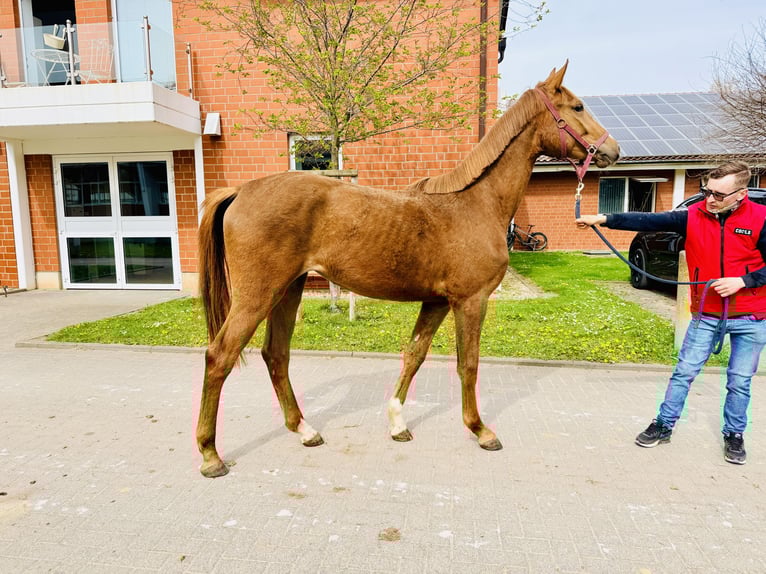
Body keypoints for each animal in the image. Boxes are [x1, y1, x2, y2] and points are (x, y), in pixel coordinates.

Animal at [195, 63, 620, 478]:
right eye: (578, 106)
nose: (613, 151)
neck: (477, 204)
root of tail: (240, 191)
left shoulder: (436, 302)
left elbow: (414, 354)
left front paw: (398, 423)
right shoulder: (471, 301)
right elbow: (468, 364)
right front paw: (480, 430)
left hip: (289, 289)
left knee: (276, 354)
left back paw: (304, 429)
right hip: (258, 294)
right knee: (220, 355)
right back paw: (210, 454)